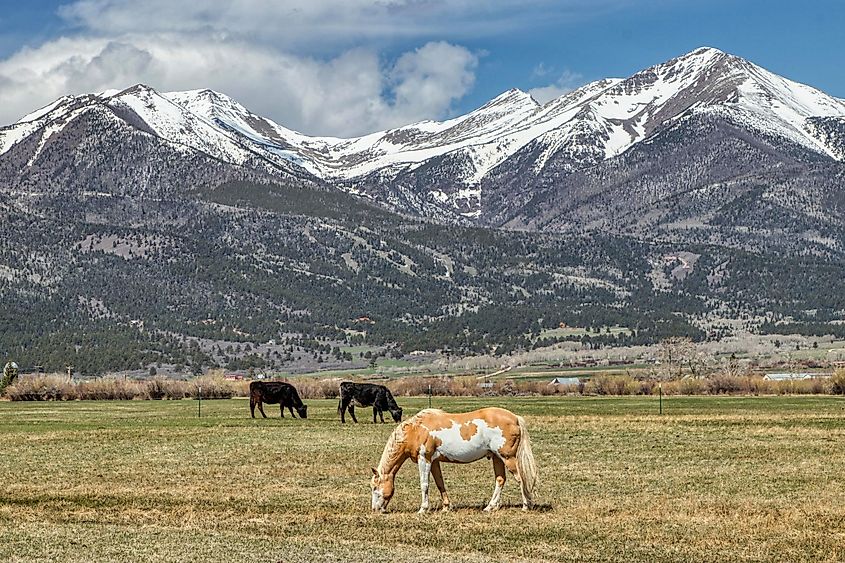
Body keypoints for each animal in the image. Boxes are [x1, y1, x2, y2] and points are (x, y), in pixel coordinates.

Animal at [370, 408, 540, 512]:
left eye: (374, 487)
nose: (375, 509)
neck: (415, 430)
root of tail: (515, 418)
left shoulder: (424, 459)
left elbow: (424, 485)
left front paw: (423, 508)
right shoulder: (434, 462)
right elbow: (440, 483)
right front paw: (446, 507)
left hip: (508, 458)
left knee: (521, 479)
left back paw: (526, 505)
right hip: (497, 458)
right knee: (500, 480)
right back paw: (491, 507)